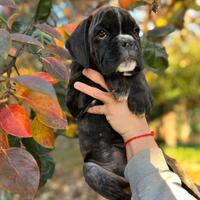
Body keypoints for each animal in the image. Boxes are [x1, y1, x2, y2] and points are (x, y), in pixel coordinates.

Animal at [65, 6, 152, 200]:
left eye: (136, 32)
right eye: (102, 34)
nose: (127, 41)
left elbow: (137, 74)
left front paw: (140, 97)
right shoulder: (74, 98)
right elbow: (93, 72)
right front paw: (117, 82)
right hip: (92, 170)